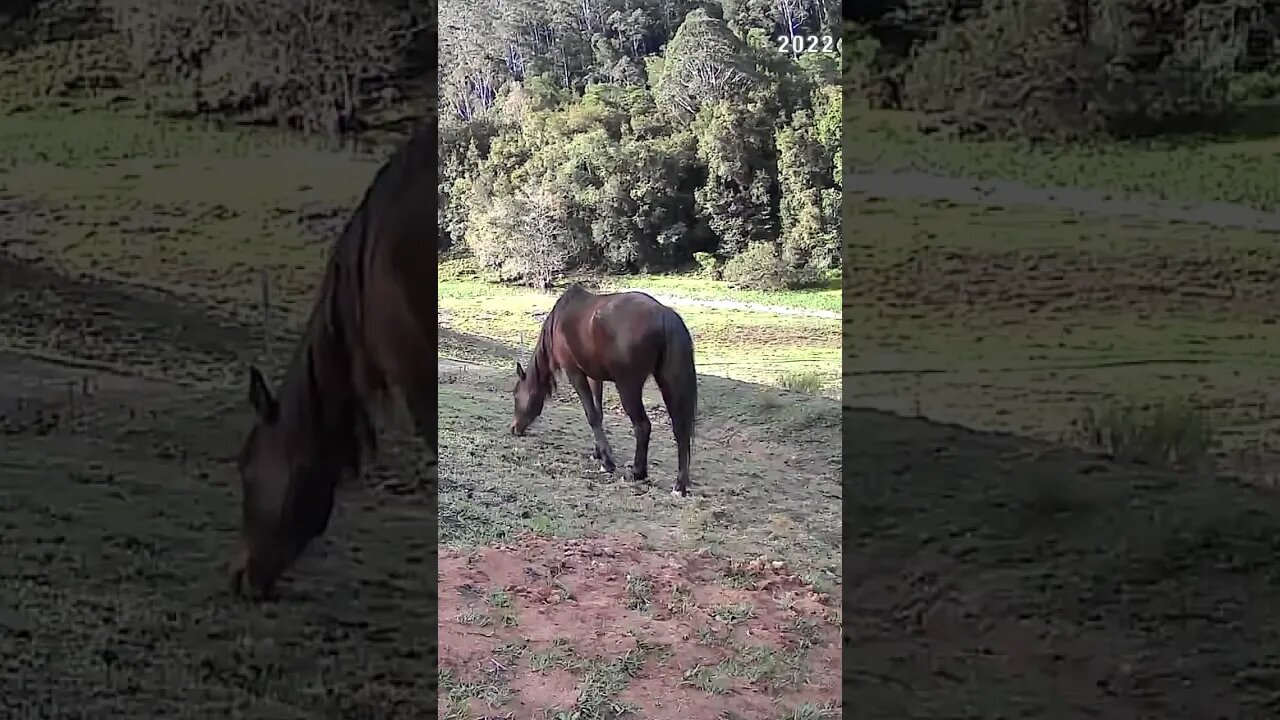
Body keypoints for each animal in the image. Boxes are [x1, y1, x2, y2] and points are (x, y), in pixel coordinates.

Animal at [510, 285, 698, 497]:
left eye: (516, 395)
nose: (514, 428)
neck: (561, 320)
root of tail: (664, 313)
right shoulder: (595, 376)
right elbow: (598, 413)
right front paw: (598, 453)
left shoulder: (574, 372)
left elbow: (592, 415)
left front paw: (607, 462)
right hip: (667, 382)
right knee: (680, 429)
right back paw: (680, 485)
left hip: (628, 386)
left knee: (643, 425)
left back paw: (637, 472)